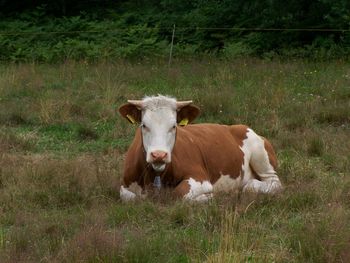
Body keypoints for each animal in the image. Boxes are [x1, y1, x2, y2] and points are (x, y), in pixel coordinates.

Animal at [119, 96, 284, 203]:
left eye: (174, 126)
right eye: (144, 125)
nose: (159, 155)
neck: (154, 176)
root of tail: (237, 126)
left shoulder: (200, 178)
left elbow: (179, 194)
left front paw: (209, 197)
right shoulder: (125, 184)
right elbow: (130, 197)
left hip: (261, 155)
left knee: (270, 184)